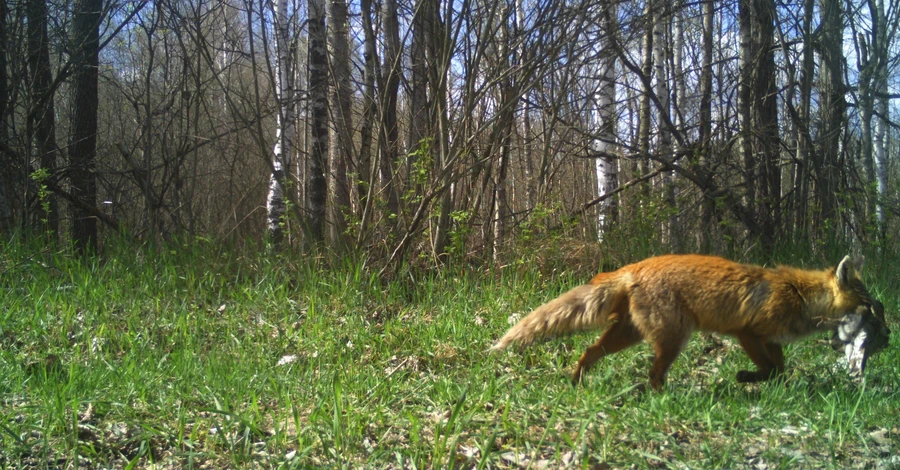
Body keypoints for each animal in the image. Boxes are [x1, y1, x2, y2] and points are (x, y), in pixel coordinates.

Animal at [492, 255, 880, 392]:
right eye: (870, 307)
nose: (885, 326)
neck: (799, 295)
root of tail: (635, 267)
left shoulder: (771, 339)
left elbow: (780, 369)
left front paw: (771, 385)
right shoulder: (747, 333)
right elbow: (769, 369)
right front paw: (746, 378)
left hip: (628, 335)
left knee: (589, 351)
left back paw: (576, 381)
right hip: (673, 338)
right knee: (653, 374)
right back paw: (661, 398)